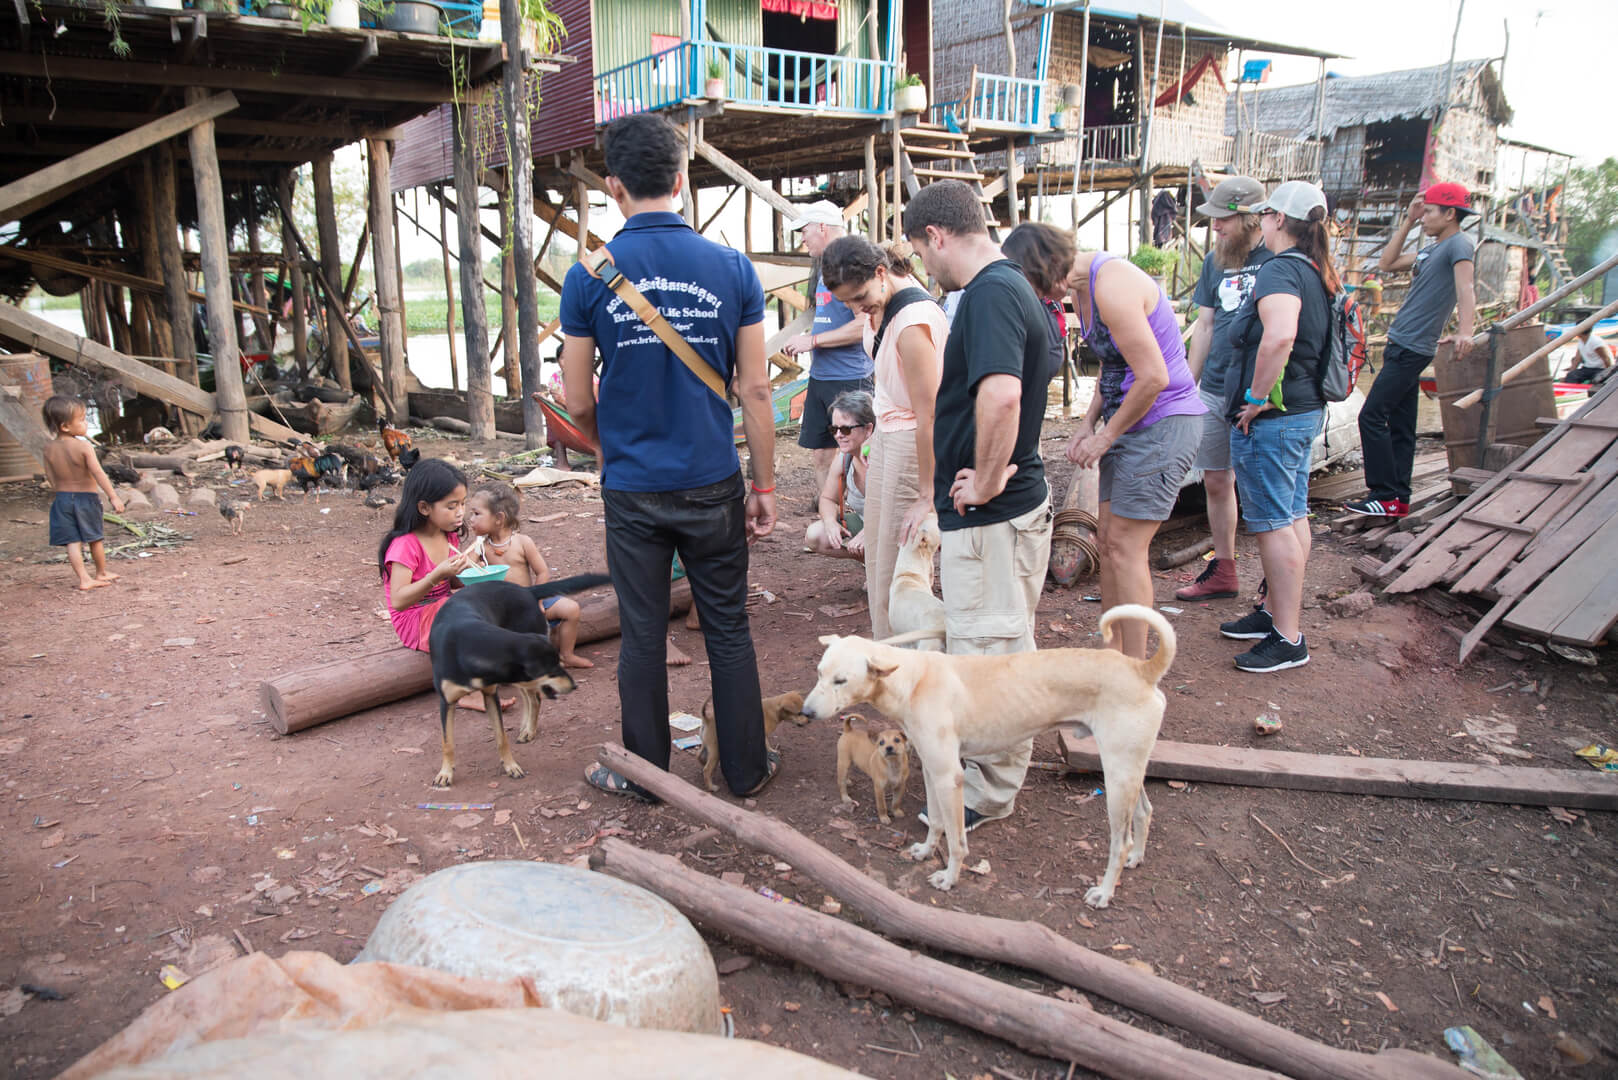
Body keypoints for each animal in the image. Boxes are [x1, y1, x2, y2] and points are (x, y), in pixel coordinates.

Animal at [427, 573, 608, 786]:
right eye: (551, 668)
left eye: (558, 663)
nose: (575, 686)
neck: (470, 647)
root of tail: (526, 590)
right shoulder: (447, 701)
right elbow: (447, 743)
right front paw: (445, 773)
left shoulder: (491, 694)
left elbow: (501, 737)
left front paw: (510, 766)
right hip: (519, 679)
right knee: (530, 699)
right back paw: (526, 727)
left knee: (534, 699)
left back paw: (529, 730)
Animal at [805, 605, 1177, 906]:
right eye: (820, 673)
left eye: (841, 680)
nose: (806, 712)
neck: (912, 679)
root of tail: (1141, 669)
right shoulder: (932, 772)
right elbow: (936, 822)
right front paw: (926, 851)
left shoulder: (949, 778)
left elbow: (956, 841)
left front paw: (949, 878)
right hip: (1125, 771)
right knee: (1145, 812)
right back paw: (1136, 858)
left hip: (1117, 778)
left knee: (1120, 842)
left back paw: (1105, 892)